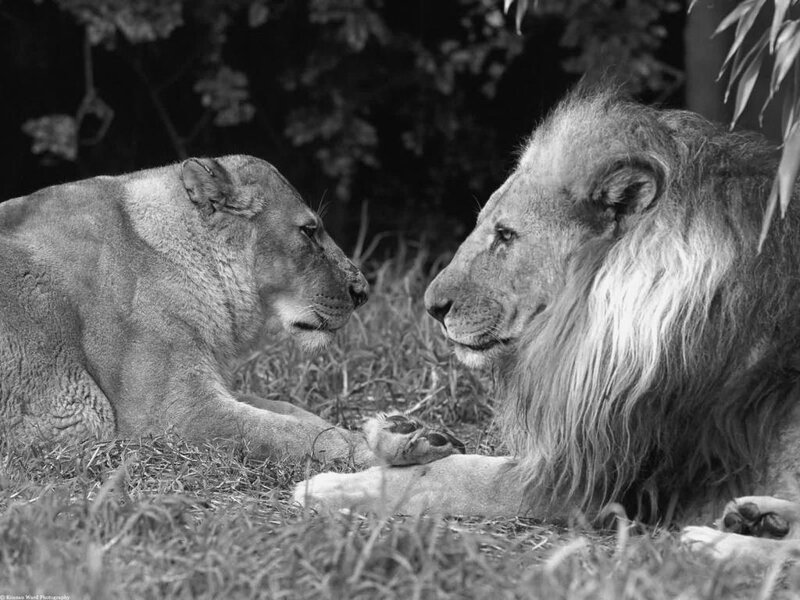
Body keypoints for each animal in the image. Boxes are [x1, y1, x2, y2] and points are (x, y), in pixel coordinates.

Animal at [0, 155, 463, 466]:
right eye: (309, 231)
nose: (363, 291)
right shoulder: (171, 415)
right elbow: (286, 433)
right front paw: (393, 446)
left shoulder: (210, 383)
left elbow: (293, 413)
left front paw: (395, 427)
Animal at [294, 88, 800, 564]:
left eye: (505, 236)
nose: (432, 307)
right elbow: (457, 456)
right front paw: (398, 436)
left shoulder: (595, 475)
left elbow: (452, 474)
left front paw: (330, 487)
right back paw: (757, 516)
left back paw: (713, 544)